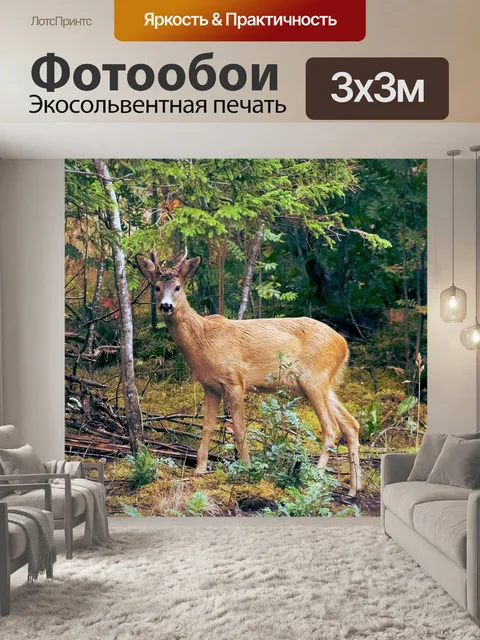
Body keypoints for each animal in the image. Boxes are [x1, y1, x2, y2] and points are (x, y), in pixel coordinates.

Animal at [136, 248, 362, 497]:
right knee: (351, 424)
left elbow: (239, 427)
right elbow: (207, 427)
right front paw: (200, 469)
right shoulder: (210, 386)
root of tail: (343, 344)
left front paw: (246, 468)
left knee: (331, 429)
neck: (203, 340)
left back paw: (315, 479)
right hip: (325, 383)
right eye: (157, 287)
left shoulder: (235, 380)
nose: (166, 306)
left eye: (178, 287)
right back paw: (353, 489)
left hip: (313, 378)